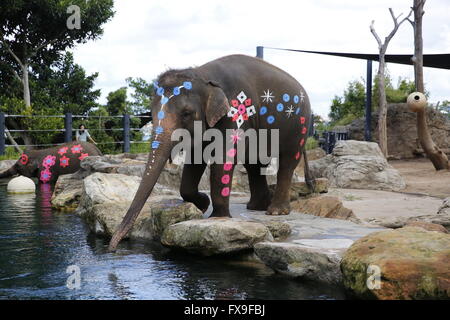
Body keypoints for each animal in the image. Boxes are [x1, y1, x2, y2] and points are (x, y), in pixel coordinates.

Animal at [108, 54, 312, 250]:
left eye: (186, 114)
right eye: (150, 113)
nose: (112, 248)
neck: (202, 74)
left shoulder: (234, 113)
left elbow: (223, 158)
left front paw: (218, 218)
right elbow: (195, 159)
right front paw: (203, 204)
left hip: (298, 126)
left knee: (287, 163)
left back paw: (275, 211)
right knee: (254, 164)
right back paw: (255, 207)